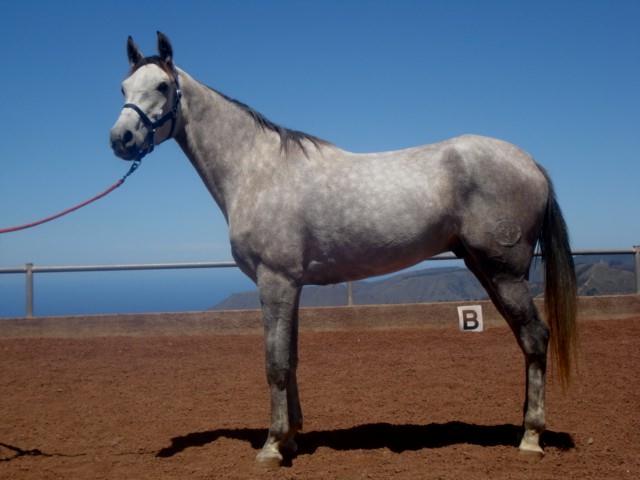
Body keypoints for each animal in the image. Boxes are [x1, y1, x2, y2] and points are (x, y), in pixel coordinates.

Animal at [110, 32, 577, 467]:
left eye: (162, 86)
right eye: (123, 87)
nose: (121, 139)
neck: (257, 170)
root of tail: (531, 163)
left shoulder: (274, 281)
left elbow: (274, 363)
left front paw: (271, 447)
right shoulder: (292, 285)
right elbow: (291, 358)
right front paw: (291, 438)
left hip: (504, 272)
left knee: (535, 338)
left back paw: (531, 438)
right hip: (486, 269)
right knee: (526, 339)